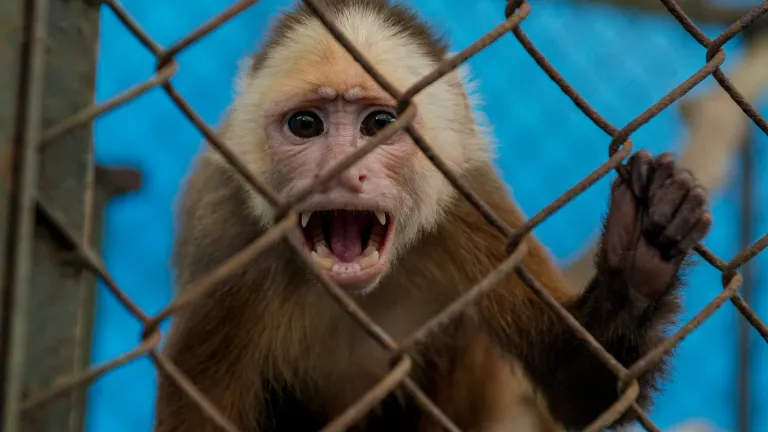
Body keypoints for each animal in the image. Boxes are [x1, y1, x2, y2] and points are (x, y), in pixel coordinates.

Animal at [154, 0, 713, 431]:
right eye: (305, 124)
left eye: (380, 123)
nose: (341, 170)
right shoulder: (228, 240)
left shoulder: (472, 205)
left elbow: (579, 386)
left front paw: (639, 259)